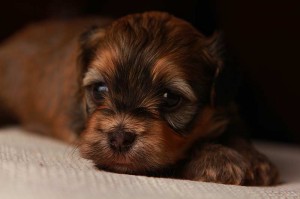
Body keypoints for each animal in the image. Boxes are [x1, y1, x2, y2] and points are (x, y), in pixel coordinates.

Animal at [0, 11, 278, 185]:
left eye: (170, 97)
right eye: (100, 89)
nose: (119, 138)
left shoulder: (226, 108)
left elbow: (235, 130)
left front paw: (255, 160)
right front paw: (218, 159)